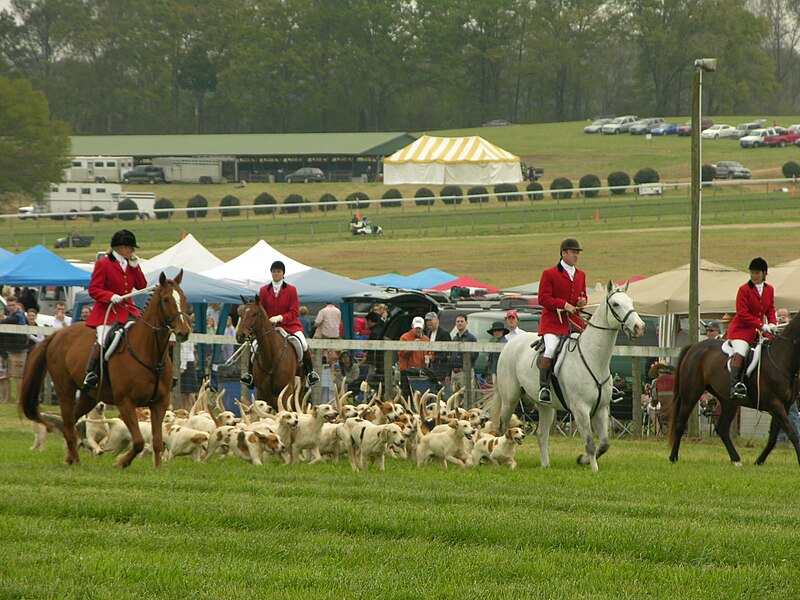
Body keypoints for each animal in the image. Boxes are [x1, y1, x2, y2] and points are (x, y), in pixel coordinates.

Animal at [20, 272, 191, 468]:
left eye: (184, 298)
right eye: (166, 300)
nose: (184, 332)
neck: (150, 354)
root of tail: (57, 334)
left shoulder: (159, 403)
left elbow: (156, 441)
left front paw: (158, 469)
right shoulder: (125, 402)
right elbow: (139, 441)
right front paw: (121, 463)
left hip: (89, 396)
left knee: (70, 422)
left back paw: (70, 458)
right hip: (65, 389)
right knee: (69, 422)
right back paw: (75, 461)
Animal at [488, 282, 644, 474]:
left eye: (631, 301)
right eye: (615, 304)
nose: (639, 327)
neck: (594, 359)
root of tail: (511, 343)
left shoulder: (601, 409)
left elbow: (605, 444)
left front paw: (583, 460)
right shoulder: (581, 410)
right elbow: (590, 443)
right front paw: (594, 469)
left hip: (545, 406)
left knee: (541, 434)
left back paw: (545, 465)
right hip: (510, 399)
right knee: (503, 428)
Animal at [668, 312, 800, 466]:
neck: (782, 358)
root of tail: (694, 347)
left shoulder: (784, 406)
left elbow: (774, 437)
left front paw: (759, 461)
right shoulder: (775, 404)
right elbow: (793, 434)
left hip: (728, 401)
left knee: (722, 428)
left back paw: (736, 459)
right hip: (691, 395)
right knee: (680, 424)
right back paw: (673, 457)